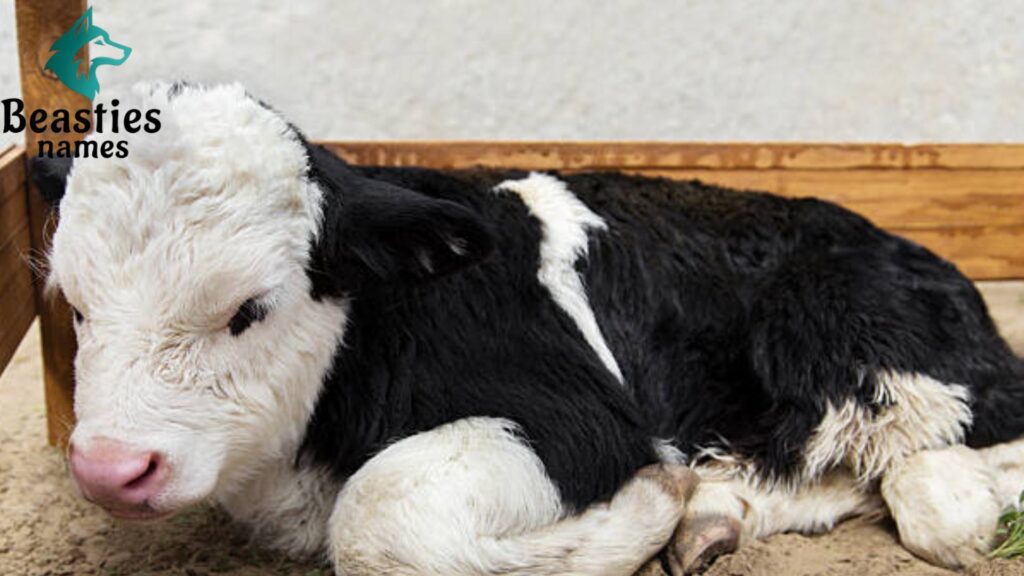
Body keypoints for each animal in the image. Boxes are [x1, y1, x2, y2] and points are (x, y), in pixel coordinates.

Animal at [32, 82, 1024, 575]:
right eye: (76, 305)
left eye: (250, 308)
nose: (110, 468)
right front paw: (679, 511)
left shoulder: (582, 415)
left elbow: (384, 515)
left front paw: (642, 511)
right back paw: (714, 518)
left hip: (857, 339)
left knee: (948, 480)